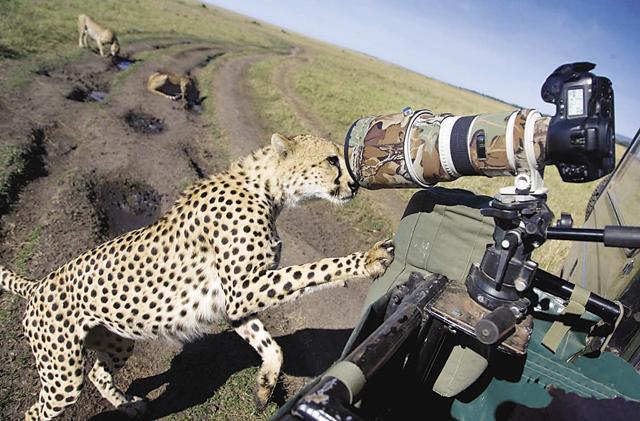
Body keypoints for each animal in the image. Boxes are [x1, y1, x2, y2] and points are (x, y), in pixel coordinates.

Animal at [0, 133, 394, 420]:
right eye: (331, 160)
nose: (354, 186)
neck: (265, 189)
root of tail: (37, 284)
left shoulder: (236, 303)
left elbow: (273, 347)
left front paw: (264, 387)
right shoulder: (245, 289)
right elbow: (315, 270)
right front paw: (367, 259)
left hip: (116, 340)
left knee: (99, 372)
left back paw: (130, 405)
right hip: (62, 375)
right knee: (36, 412)